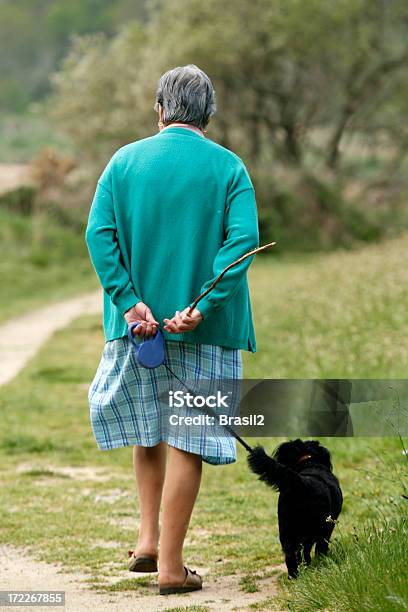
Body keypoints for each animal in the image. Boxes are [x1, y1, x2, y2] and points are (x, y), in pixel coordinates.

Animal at [247, 438, 342, 576]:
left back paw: (295, 575)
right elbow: (319, 546)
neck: (309, 462)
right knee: (308, 550)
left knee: (291, 555)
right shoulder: (328, 526)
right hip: (313, 528)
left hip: (285, 530)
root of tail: (300, 482)